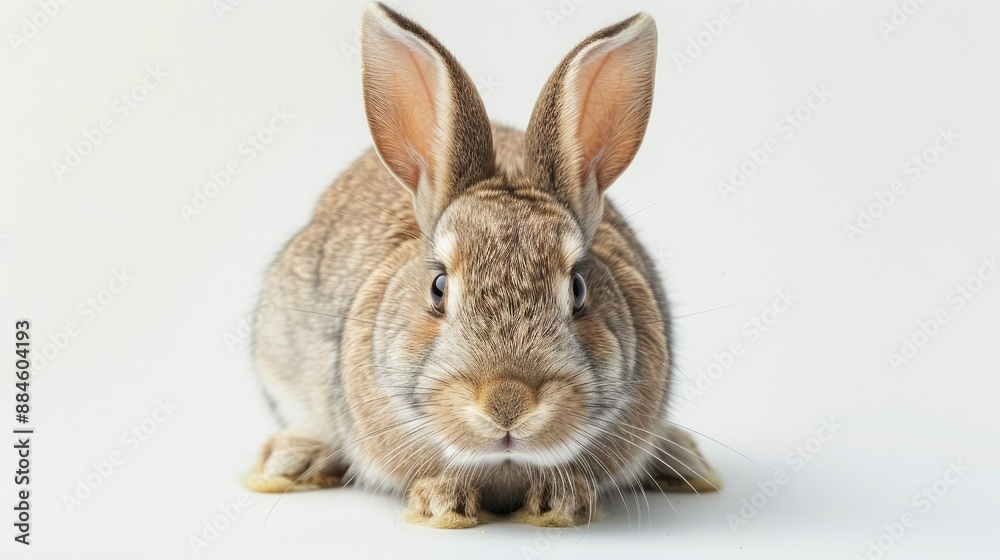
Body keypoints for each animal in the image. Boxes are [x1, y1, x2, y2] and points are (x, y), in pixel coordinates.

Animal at [244, 2, 722, 529]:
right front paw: (443, 503)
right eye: (438, 287)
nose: (507, 403)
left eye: (578, 288)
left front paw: (564, 502)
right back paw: (290, 461)